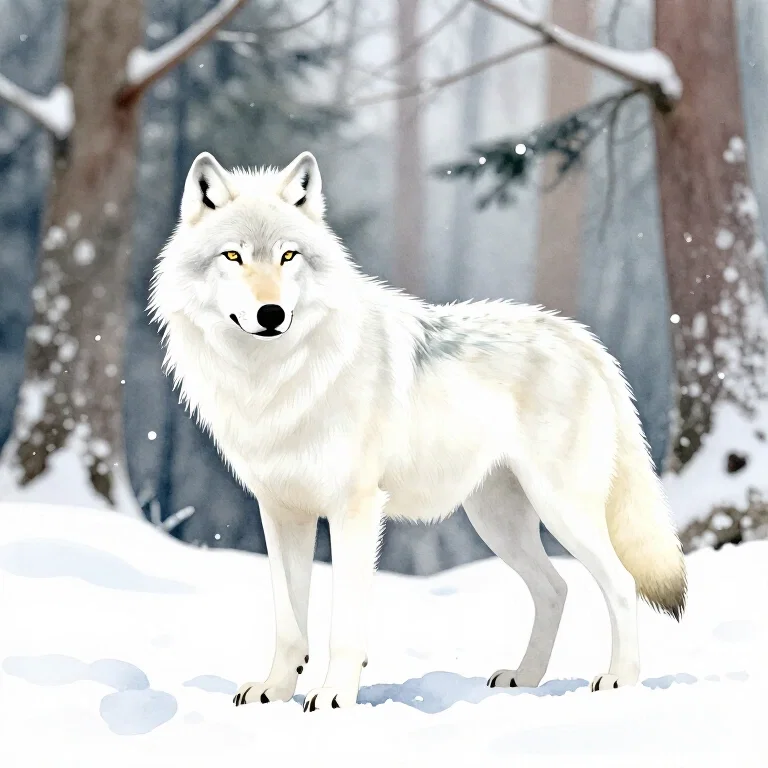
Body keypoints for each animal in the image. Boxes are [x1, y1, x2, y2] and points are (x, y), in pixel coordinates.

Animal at [149, 150, 687, 712]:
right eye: (232, 256)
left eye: (288, 256)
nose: (271, 313)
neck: (273, 380)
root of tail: (582, 339)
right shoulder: (281, 512)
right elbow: (289, 622)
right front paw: (274, 691)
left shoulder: (356, 510)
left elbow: (344, 622)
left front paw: (335, 694)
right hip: (497, 521)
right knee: (555, 588)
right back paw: (525, 678)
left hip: (562, 511)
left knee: (620, 583)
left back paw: (620, 680)